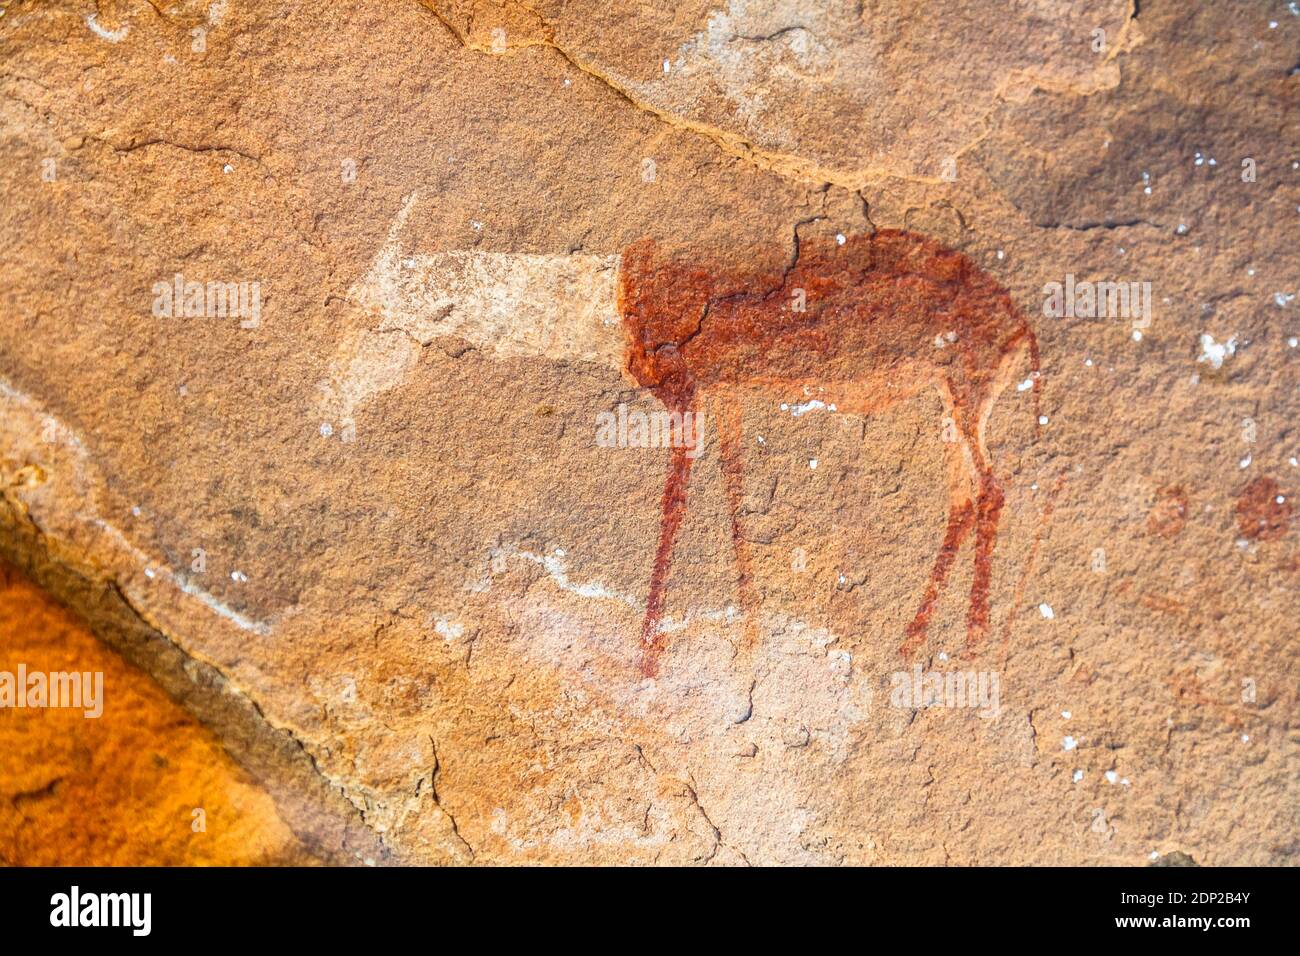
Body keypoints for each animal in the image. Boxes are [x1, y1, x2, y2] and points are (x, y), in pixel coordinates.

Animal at [618, 232, 1040, 676]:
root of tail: (1020, 322)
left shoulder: (691, 391)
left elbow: (675, 503)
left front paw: (649, 652)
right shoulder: (726, 393)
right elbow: (736, 494)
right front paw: (749, 640)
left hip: (967, 391)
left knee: (991, 489)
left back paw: (974, 640)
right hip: (947, 400)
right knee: (962, 499)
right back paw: (911, 643)